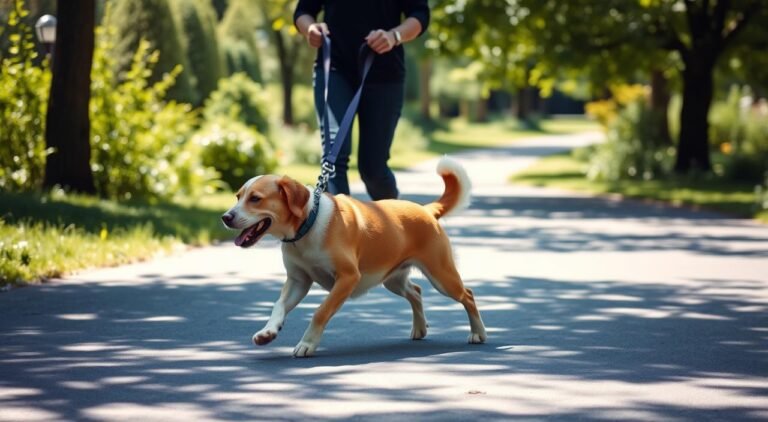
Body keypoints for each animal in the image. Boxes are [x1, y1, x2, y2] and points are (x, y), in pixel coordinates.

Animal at [222, 157, 486, 358]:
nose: (226, 217)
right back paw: (419, 328)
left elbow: (320, 312)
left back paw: (478, 333)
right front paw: (268, 332)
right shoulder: (298, 281)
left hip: (442, 276)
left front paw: (307, 344)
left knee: (468, 295)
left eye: (255, 198)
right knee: (416, 292)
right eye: (237, 196)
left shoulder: (347, 278)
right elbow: (279, 305)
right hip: (392, 279)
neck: (308, 225)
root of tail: (427, 210)